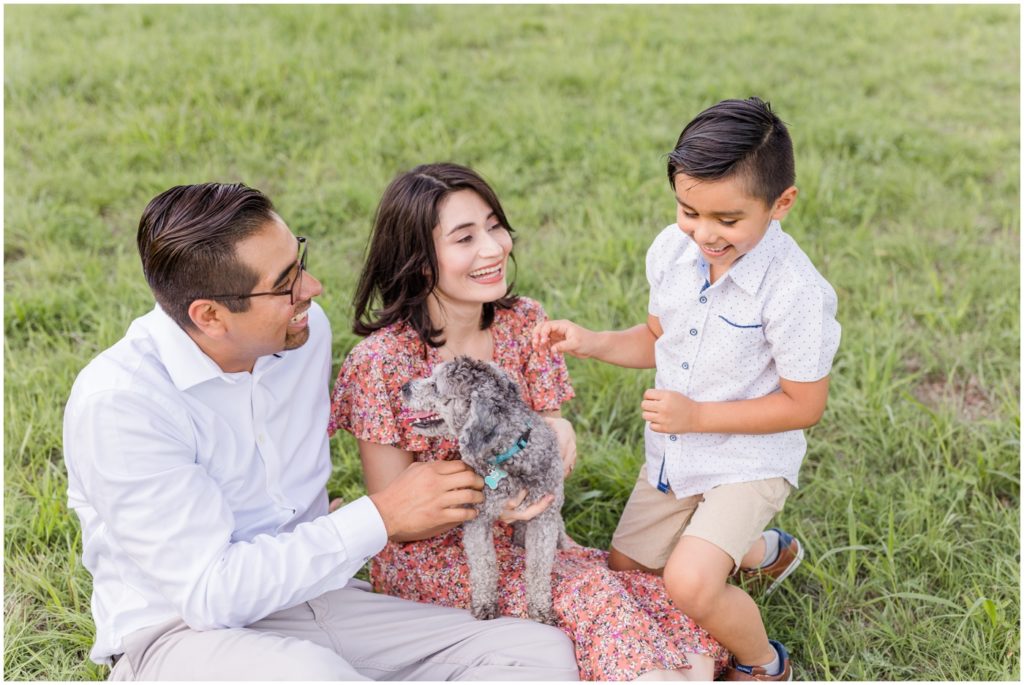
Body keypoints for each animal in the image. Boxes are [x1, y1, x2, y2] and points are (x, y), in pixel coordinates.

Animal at [399, 358, 569, 626]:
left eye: (436, 385)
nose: (404, 386)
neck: (508, 457)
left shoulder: (543, 519)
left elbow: (539, 568)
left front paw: (541, 609)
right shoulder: (477, 519)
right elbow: (484, 565)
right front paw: (486, 603)